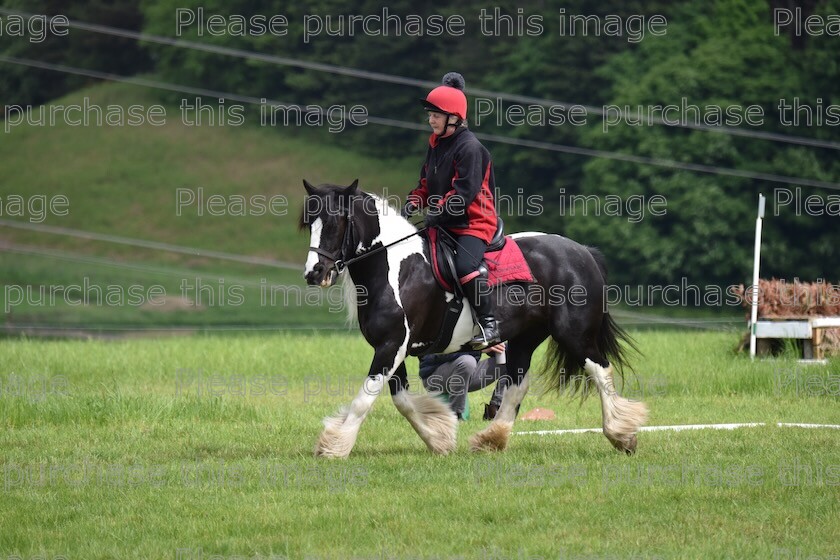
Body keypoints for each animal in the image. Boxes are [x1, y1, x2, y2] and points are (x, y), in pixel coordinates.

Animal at [302, 180, 648, 460]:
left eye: (337, 221)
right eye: (309, 223)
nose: (314, 273)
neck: (396, 267)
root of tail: (583, 252)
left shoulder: (391, 346)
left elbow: (366, 399)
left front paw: (334, 446)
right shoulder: (391, 348)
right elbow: (401, 400)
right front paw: (439, 438)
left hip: (574, 333)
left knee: (600, 370)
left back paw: (622, 435)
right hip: (524, 338)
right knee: (517, 384)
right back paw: (491, 439)